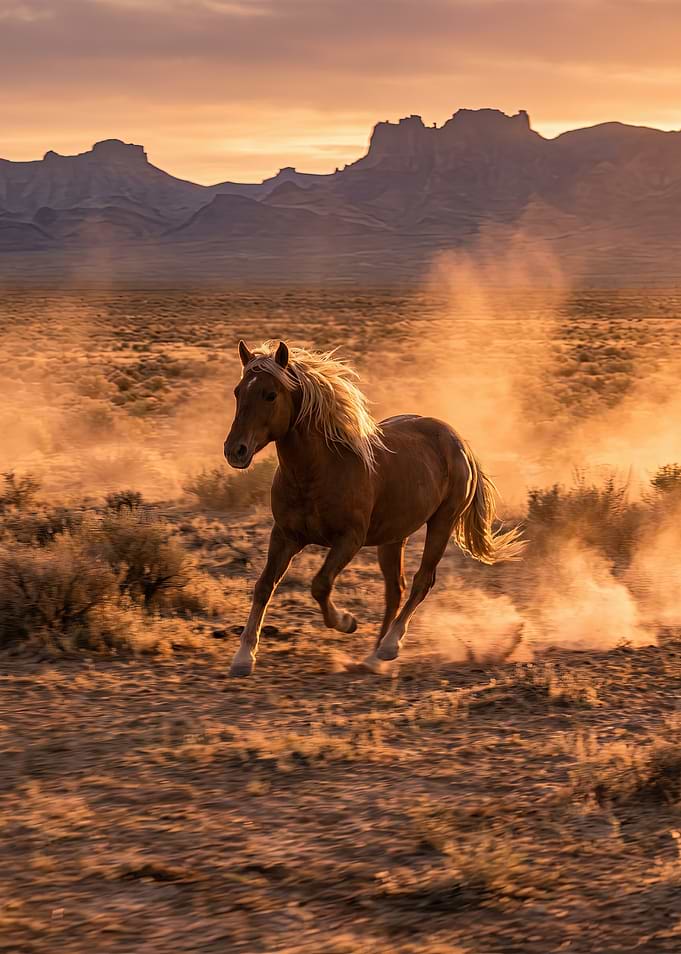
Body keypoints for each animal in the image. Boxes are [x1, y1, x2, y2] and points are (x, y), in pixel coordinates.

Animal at [223, 339, 522, 677]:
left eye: (270, 394)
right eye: (238, 391)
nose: (235, 451)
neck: (317, 470)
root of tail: (458, 442)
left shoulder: (349, 540)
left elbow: (320, 585)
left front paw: (346, 622)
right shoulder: (285, 535)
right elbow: (264, 586)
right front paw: (243, 657)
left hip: (442, 523)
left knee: (422, 581)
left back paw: (390, 645)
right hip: (393, 537)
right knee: (396, 589)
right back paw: (373, 656)